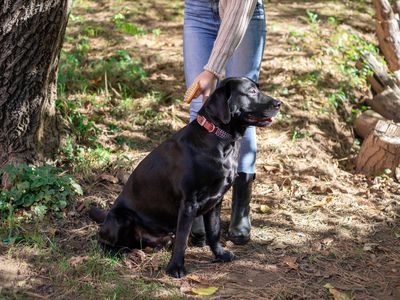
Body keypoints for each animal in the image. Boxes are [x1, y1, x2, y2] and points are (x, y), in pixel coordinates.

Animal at [89, 77, 280, 276]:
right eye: (251, 91)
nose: (279, 103)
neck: (218, 138)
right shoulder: (189, 203)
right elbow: (182, 239)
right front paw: (176, 268)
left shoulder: (216, 201)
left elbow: (214, 231)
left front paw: (220, 255)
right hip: (120, 218)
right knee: (102, 241)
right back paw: (116, 253)